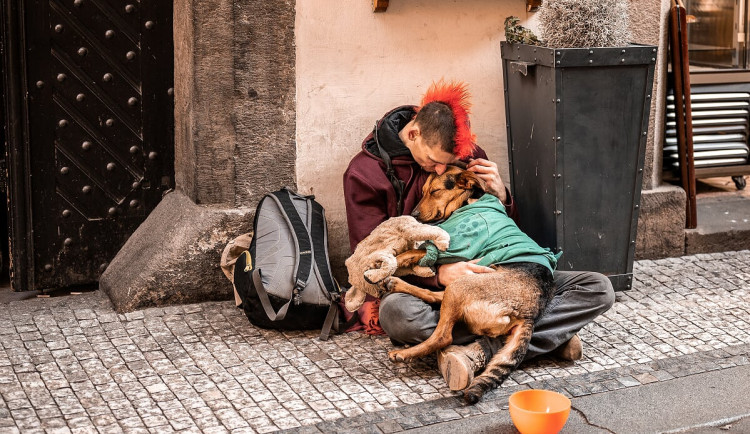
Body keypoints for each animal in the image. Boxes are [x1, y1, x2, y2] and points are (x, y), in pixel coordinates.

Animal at [384, 166, 556, 404]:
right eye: (424, 190)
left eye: (435, 191)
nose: (415, 215)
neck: (470, 199)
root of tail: (528, 314)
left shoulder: (456, 247)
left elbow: (415, 252)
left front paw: (388, 261)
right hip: (464, 284)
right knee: (435, 295)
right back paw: (394, 282)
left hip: (462, 286)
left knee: (443, 335)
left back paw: (404, 353)